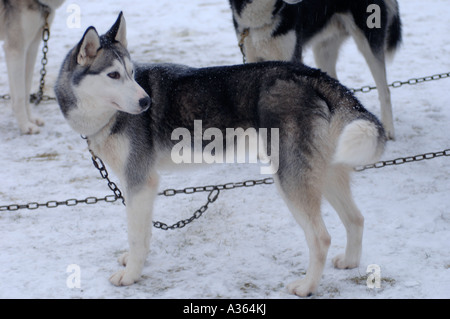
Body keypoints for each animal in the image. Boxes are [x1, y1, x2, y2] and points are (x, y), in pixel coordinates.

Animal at [0, 0, 64, 134]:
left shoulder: (31, 47)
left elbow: (25, 91)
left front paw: (30, 119)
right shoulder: (16, 49)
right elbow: (19, 95)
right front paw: (25, 126)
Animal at [55, 12, 386, 298]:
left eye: (131, 73)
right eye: (114, 74)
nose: (146, 102)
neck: (106, 116)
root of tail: (308, 74)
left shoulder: (139, 182)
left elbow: (137, 236)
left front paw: (131, 276)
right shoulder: (140, 187)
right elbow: (144, 234)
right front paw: (134, 262)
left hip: (290, 179)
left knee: (321, 238)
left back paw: (307, 287)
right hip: (325, 173)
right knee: (356, 218)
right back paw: (351, 262)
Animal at [230, 0, 402, 140]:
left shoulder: (290, 57)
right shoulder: (253, 57)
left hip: (367, 40)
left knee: (385, 90)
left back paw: (388, 129)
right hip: (323, 50)